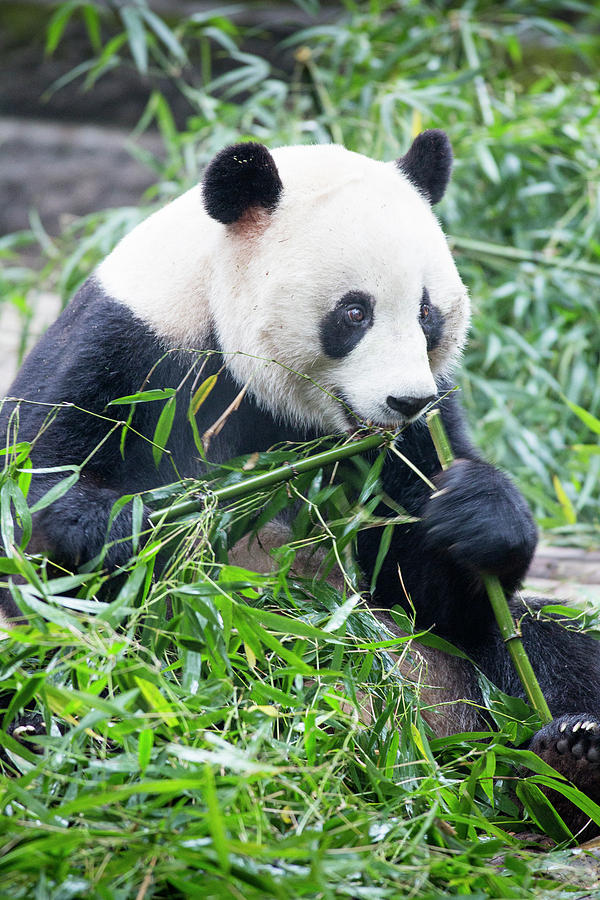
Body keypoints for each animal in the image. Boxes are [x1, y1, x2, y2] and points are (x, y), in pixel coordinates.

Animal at [1, 132, 600, 836]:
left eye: (427, 312)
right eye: (355, 311)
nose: (406, 400)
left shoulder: (411, 441)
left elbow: (428, 580)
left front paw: (475, 512)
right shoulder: (125, 353)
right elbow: (37, 524)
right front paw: (124, 526)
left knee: (551, 649)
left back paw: (567, 757)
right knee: (71, 689)